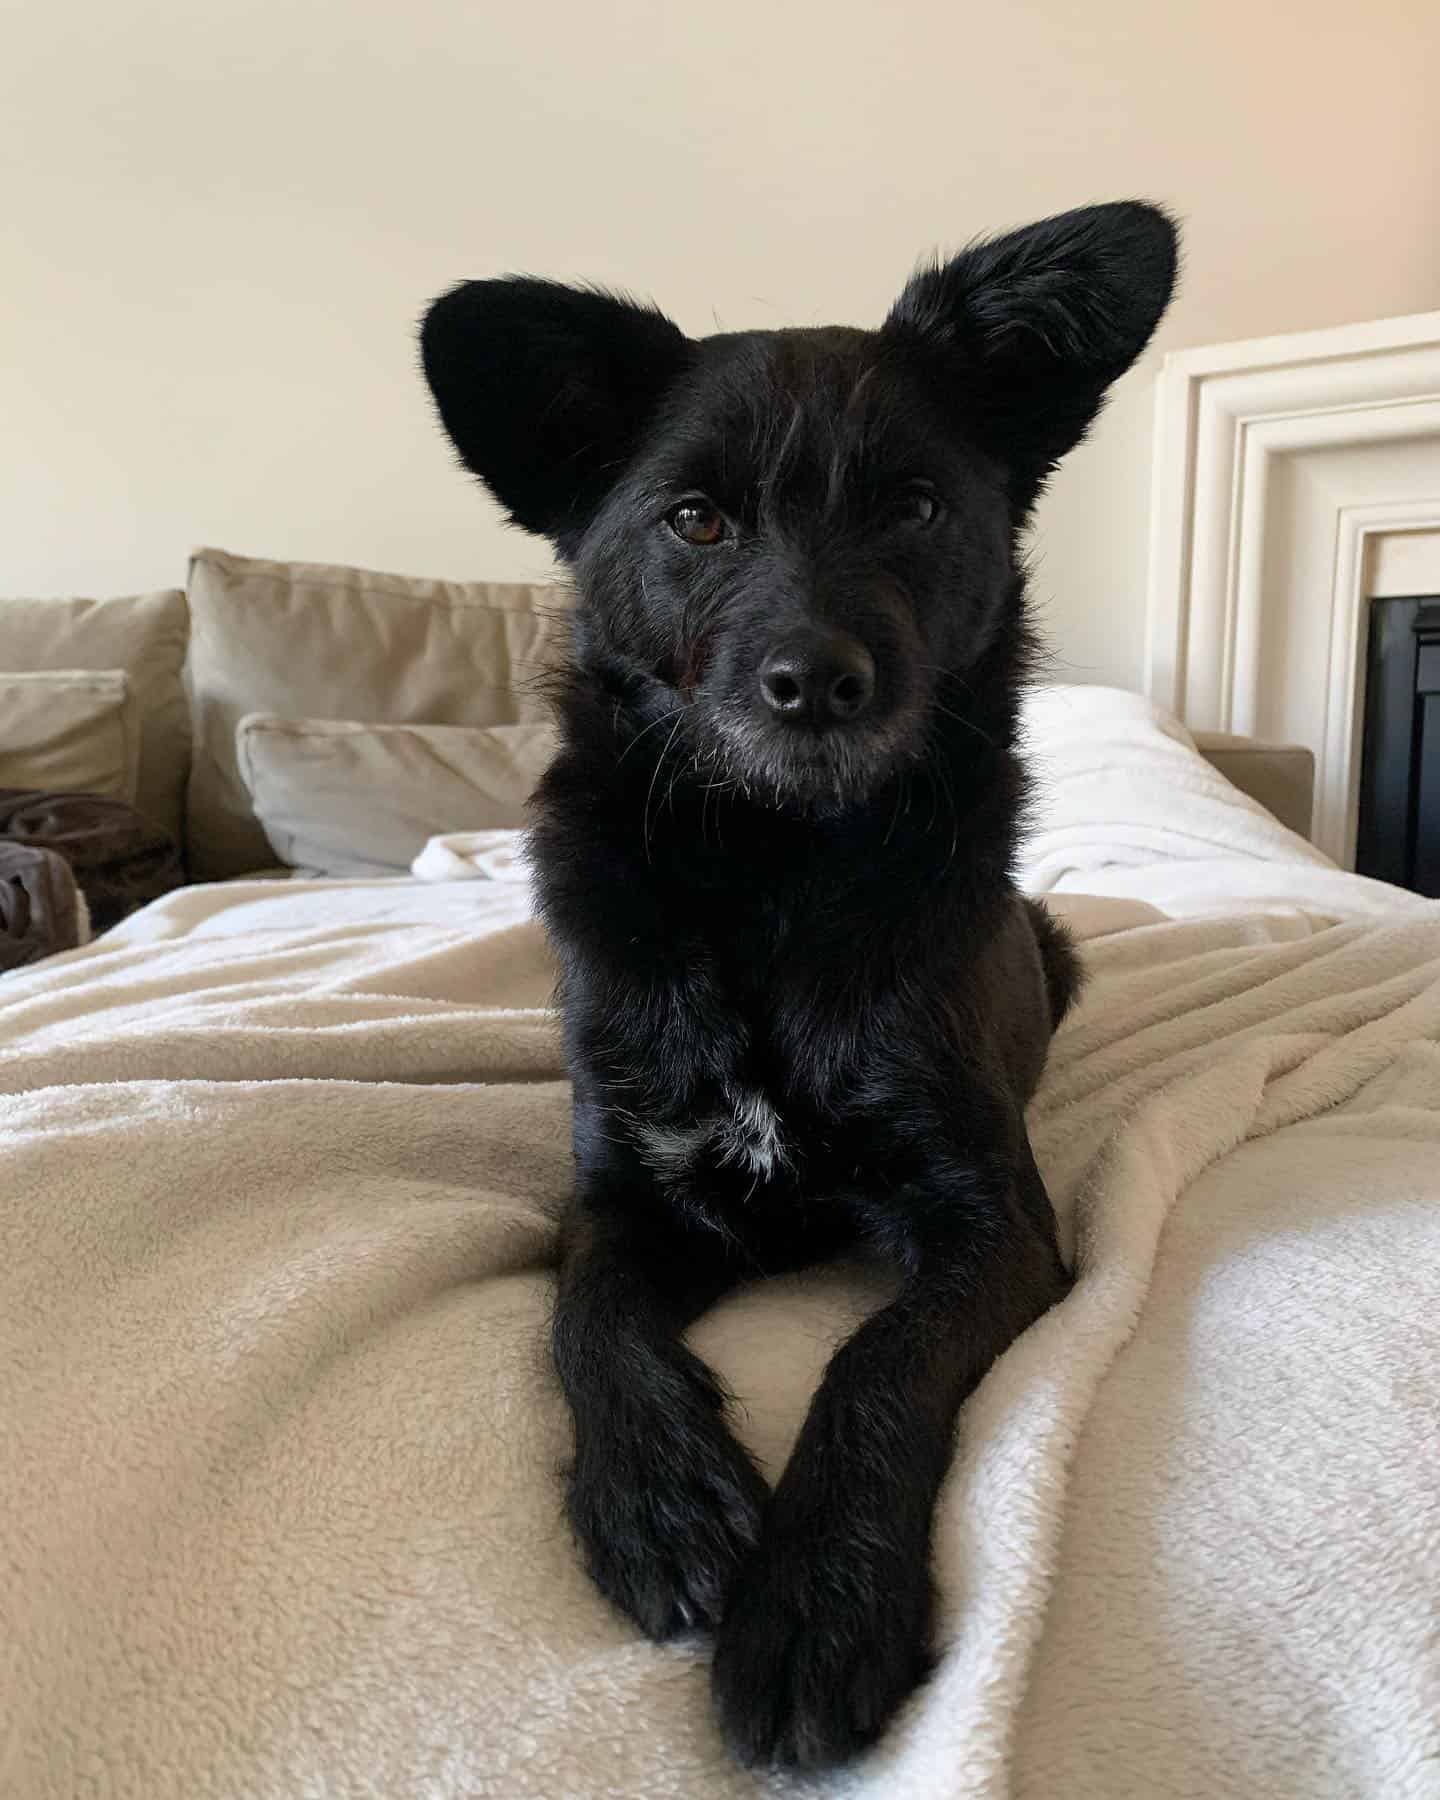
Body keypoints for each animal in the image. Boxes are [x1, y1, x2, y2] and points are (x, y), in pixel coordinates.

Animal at [421, 204, 1173, 1764]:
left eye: (916, 509)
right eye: (696, 519)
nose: (814, 680)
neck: (775, 878)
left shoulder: (996, 1223)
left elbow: (876, 1361)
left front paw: (820, 1598)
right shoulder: (626, 1195)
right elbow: (586, 1315)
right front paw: (660, 1502)